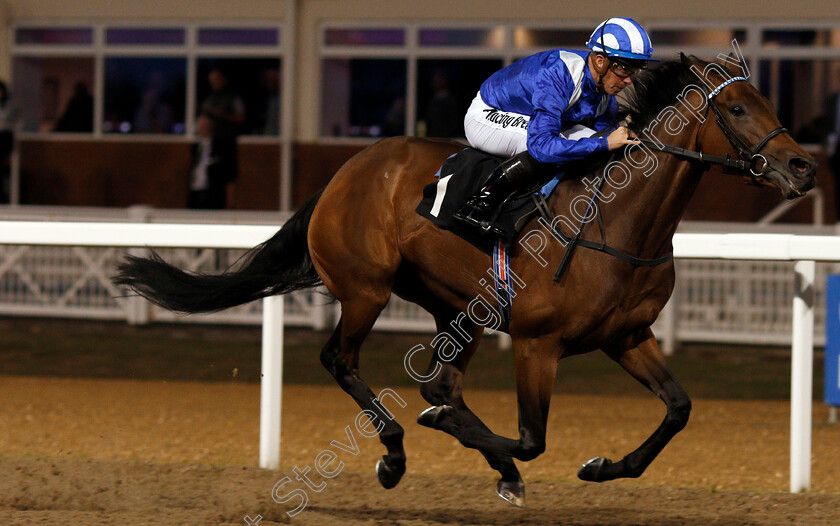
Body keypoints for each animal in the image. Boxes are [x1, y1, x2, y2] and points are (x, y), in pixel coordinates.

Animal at [111, 52, 812, 508]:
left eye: (769, 102)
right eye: (736, 108)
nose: (802, 167)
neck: (616, 222)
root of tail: (345, 172)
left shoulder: (627, 337)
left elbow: (678, 409)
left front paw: (601, 466)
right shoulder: (537, 343)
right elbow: (531, 438)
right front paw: (455, 434)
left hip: (458, 307)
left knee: (441, 379)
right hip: (367, 289)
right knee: (342, 360)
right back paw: (396, 451)